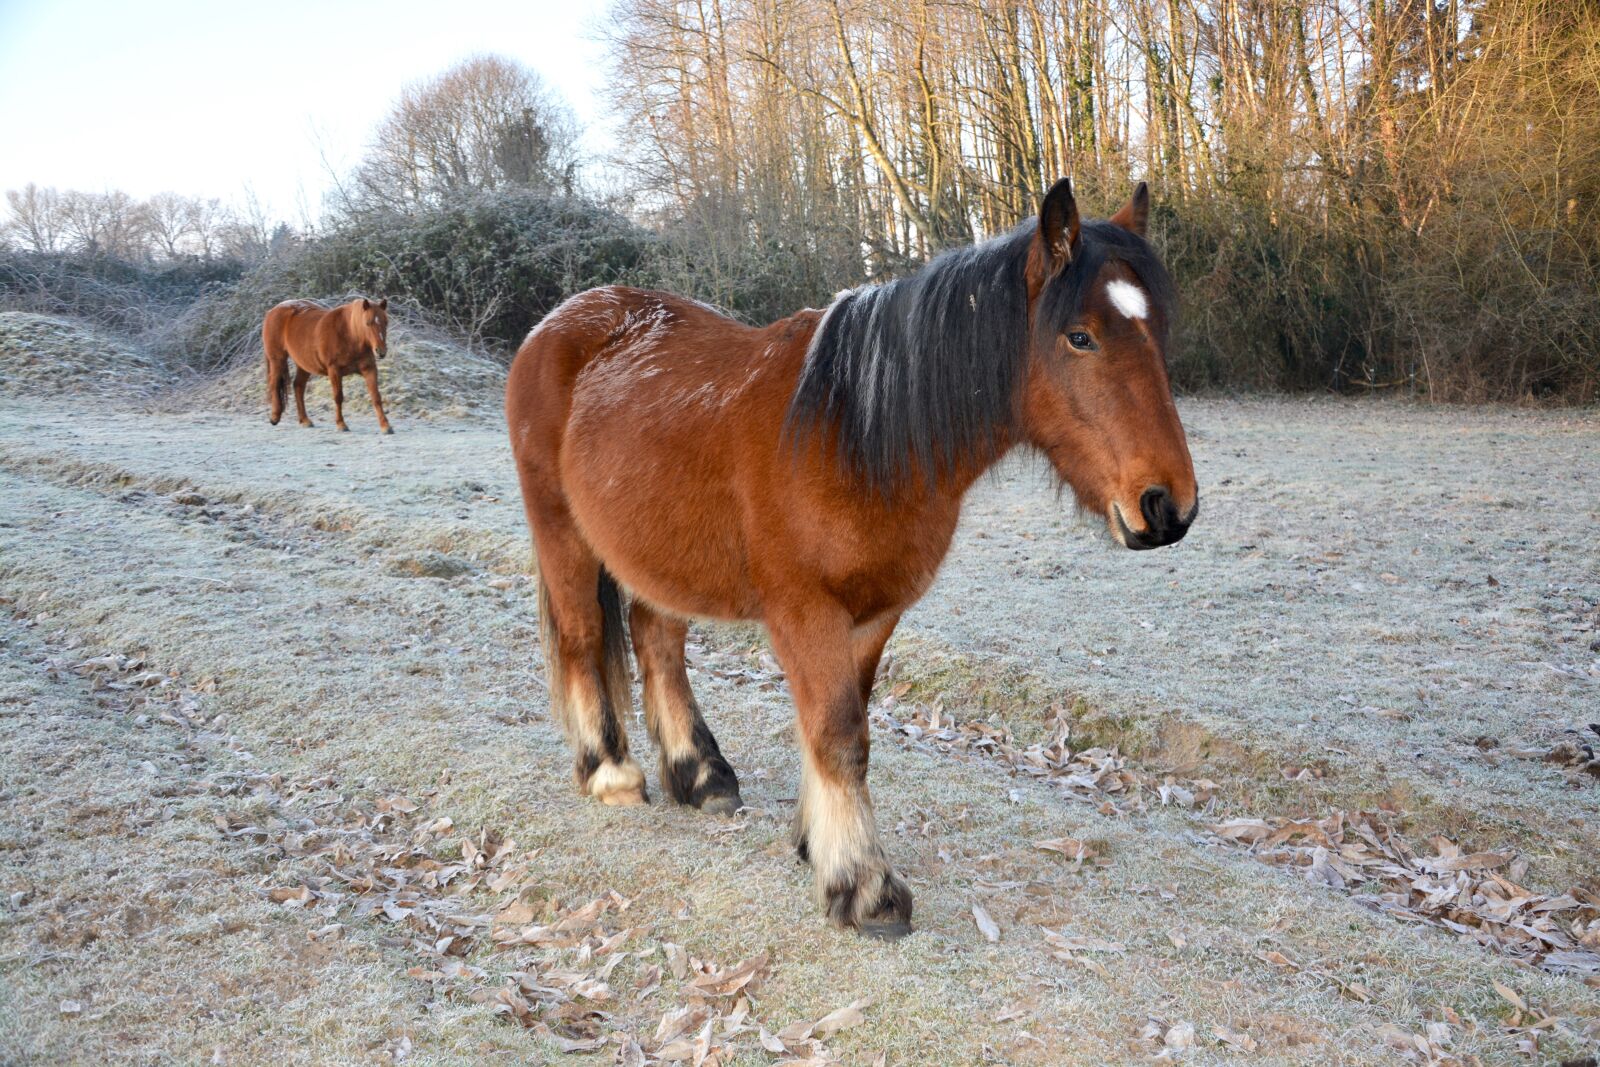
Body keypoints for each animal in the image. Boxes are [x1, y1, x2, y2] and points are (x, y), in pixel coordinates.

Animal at [263, 297, 393, 434]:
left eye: (385, 322)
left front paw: (385, 426)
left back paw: (305, 420)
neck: (350, 334)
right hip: (277, 360)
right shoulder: (334, 370)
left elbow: (376, 397)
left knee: (298, 386)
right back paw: (274, 417)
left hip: (304, 365)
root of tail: (272, 311)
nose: (381, 351)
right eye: (367, 323)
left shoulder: (369, 369)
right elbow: (338, 397)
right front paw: (341, 424)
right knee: (274, 385)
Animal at [506, 179, 1197, 938]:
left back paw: (701, 774)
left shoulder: (873, 615)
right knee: (582, 637)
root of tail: (559, 322)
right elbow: (837, 734)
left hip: (658, 553)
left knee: (657, 641)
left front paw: (817, 842)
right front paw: (864, 887)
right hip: (562, 534)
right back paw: (611, 774)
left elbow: (847, 728)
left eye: (1158, 331)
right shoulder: (805, 613)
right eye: (1080, 336)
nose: (1168, 506)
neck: (853, 431)